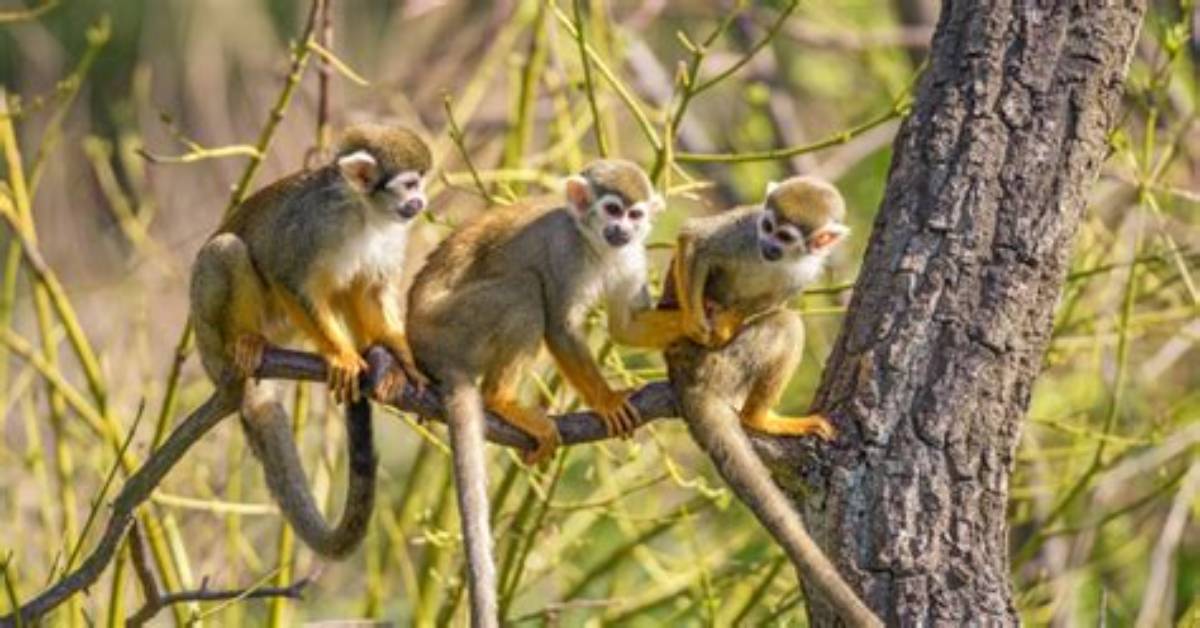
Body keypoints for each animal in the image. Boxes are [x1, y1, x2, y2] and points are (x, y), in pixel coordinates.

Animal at [189, 123, 432, 558]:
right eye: (408, 184)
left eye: (423, 181)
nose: (420, 202)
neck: (364, 213)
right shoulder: (314, 221)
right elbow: (285, 273)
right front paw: (340, 355)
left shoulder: (390, 234)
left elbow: (371, 289)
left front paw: (405, 359)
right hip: (208, 330)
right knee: (227, 250)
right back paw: (247, 342)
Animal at [406, 159, 671, 626]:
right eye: (612, 209)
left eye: (635, 214)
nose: (622, 230)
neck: (593, 242)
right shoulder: (564, 252)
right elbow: (560, 327)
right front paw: (606, 401)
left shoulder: (632, 256)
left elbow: (629, 325)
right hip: (451, 328)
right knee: (526, 289)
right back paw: (500, 398)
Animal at [658, 176, 882, 624]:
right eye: (767, 225)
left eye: (786, 236)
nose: (769, 246)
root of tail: (682, 373)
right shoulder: (743, 230)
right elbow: (695, 240)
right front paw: (698, 322)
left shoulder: (806, 270)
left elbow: (771, 301)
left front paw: (727, 318)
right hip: (719, 365)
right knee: (786, 325)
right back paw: (755, 413)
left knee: (781, 317)